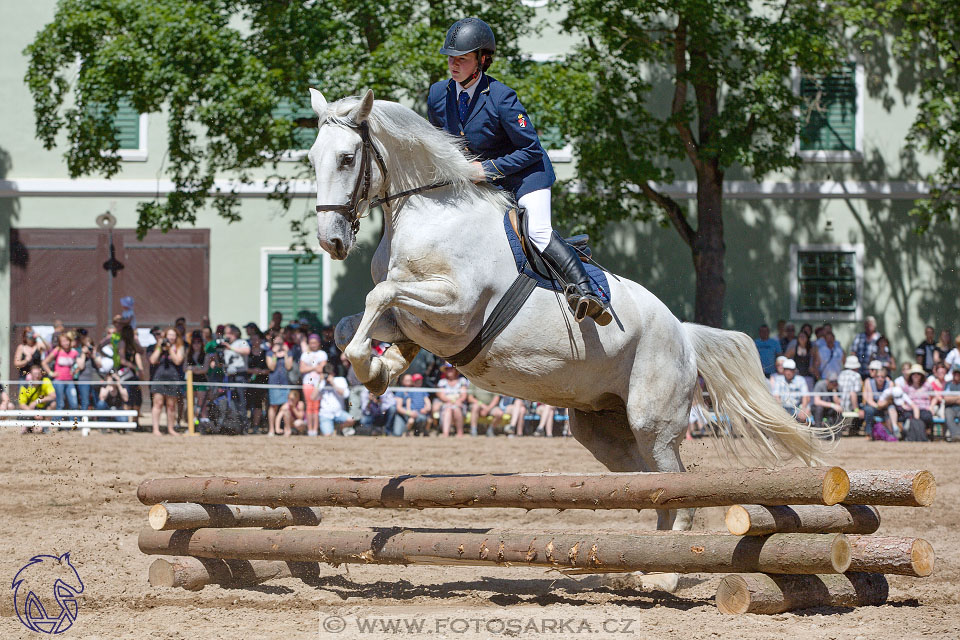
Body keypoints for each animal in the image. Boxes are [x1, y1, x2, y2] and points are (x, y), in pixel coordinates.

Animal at [306, 89, 824, 592]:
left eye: (348, 158)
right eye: (312, 158)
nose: (331, 241)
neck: (428, 215)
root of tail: (683, 332)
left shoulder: (457, 309)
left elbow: (380, 294)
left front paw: (373, 368)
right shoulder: (413, 319)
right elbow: (352, 326)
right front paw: (380, 369)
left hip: (652, 419)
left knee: (677, 486)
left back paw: (668, 574)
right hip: (604, 430)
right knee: (655, 486)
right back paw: (646, 569)